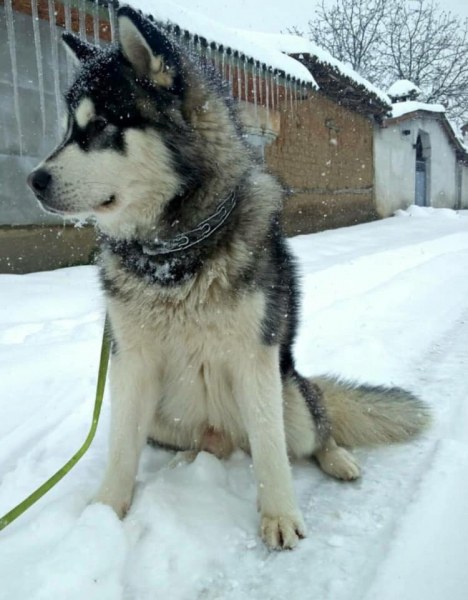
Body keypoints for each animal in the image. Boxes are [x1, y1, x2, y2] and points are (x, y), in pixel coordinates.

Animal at [26, 4, 432, 552]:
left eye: (104, 125)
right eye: (69, 129)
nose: (33, 180)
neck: (173, 253)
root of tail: (221, 435)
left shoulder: (254, 358)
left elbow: (272, 451)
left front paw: (279, 514)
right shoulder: (131, 362)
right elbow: (120, 447)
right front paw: (105, 513)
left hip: (290, 396)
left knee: (313, 429)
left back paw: (338, 458)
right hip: (165, 419)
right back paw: (190, 461)